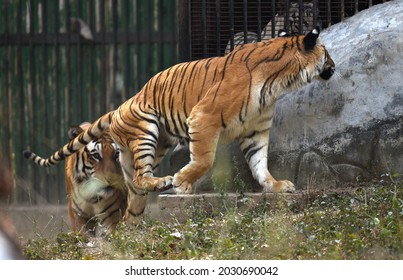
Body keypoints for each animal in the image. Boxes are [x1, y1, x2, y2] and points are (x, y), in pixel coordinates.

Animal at [23, 26, 336, 223]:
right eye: (327, 53)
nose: (334, 66)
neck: (279, 82)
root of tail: (123, 104)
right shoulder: (204, 117)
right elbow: (204, 160)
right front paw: (182, 183)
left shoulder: (255, 131)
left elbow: (259, 163)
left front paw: (275, 185)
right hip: (147, 130)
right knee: (142, 177)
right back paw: (164, 181)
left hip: (147, 153)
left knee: (133, 199)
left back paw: (130, 234)